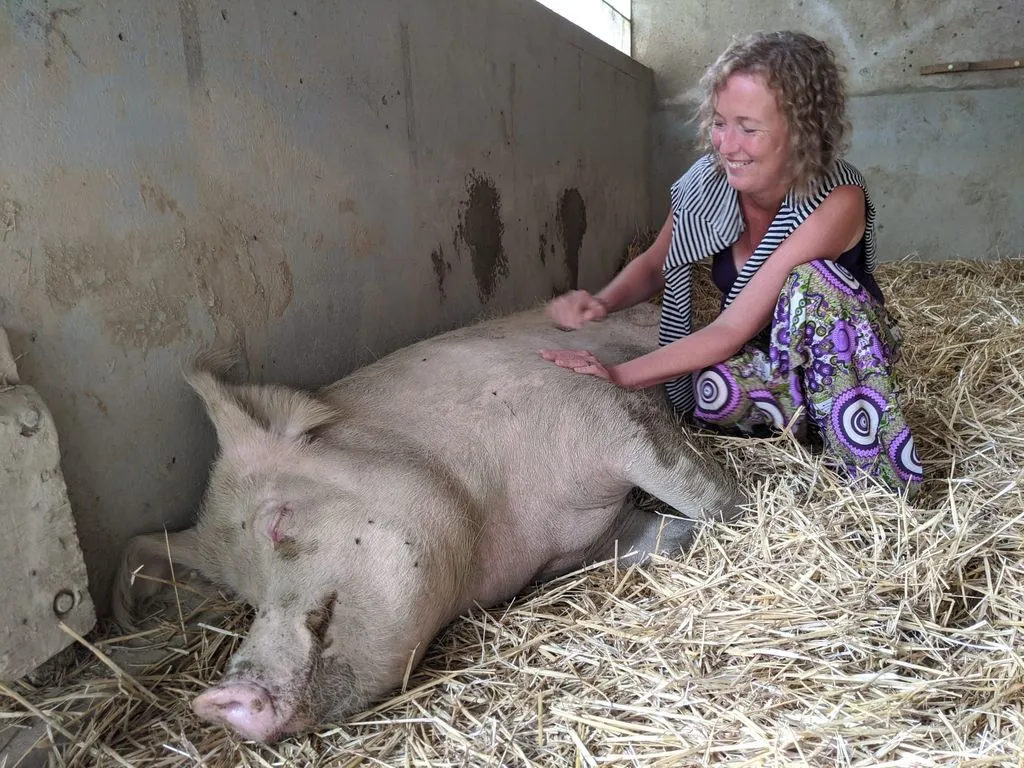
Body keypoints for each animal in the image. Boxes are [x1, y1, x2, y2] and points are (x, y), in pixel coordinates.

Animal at [113, 302, 743, 743]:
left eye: (279, 524)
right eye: (243, 599)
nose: (216, 701)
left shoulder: (601, 410)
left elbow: (694, 491)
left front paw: (736, 517)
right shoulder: (581, 542)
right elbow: (649, 540)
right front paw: (682, 538)